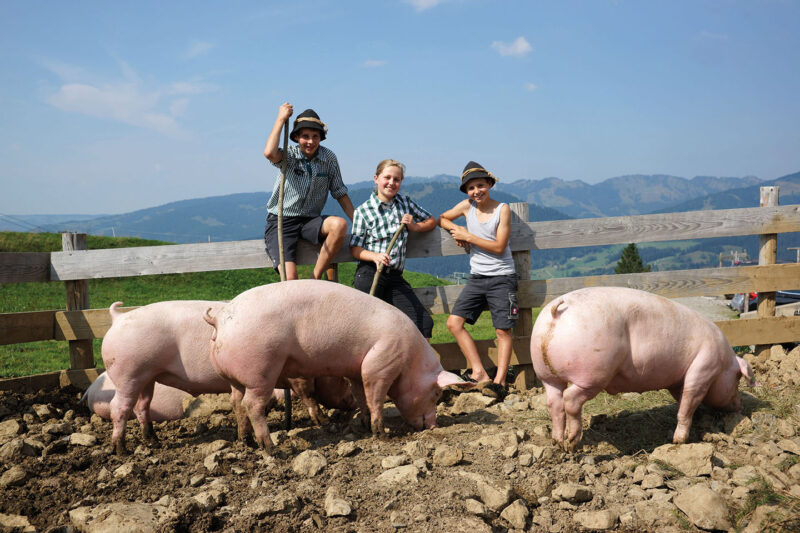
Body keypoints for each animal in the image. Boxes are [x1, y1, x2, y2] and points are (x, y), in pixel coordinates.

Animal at [203, 278, 472, 454]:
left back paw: (245, 441)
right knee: (252, 405)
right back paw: (272, 449)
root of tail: (219, 319)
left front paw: (364, 425)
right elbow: (376, 397)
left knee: (236, 403)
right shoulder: (380, 363)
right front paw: (381, 435)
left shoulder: (356, 370)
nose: (434, 425)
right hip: (261, 371)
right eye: (436, 394)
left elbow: (361, 396)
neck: (409, 360)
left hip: (234, 378)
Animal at [532, 286, 756, 448]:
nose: (741, 407)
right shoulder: (704, 367)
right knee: (570, 398)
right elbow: (689, 399)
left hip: (545, 373)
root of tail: (556, 312)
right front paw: (679, 441)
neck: (724, 362)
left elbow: (683, 399)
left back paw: (557, 442)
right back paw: (572, 442)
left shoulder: (678, 380)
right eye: (737, 379)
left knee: (554, 402)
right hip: (593, 372)